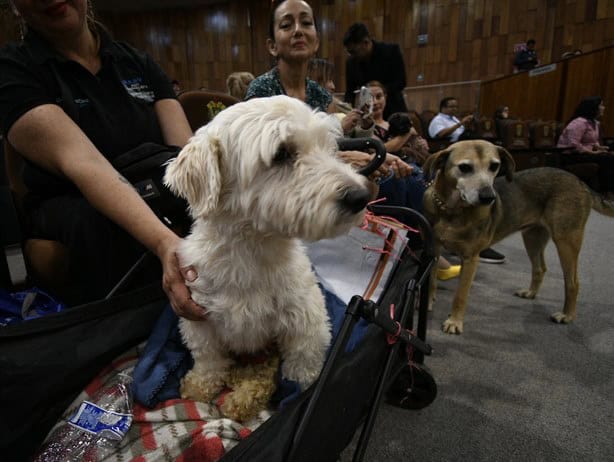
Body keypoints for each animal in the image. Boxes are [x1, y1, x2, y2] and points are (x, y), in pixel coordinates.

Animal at [164, 94, 372, 412]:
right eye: (281, 153)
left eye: (329, 147)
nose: (360, 196)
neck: (249, 253)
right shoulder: (199, 319)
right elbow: (208, 358)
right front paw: (201, 385)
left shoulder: (307, 321)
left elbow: (303, 367)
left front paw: (302, 395)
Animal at [424, 139, 614, 334]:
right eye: (464, 167)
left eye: (494, 166)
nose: (489, 197)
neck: (451, 211)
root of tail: (580, 181)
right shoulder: (434, 250)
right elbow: (431, 281)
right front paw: (427, 304)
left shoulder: (470, 259)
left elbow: (460, 295)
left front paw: (454, 322)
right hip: (533, 238)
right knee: (540, 268)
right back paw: (531, 293)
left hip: (566, 241)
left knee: (573, 282)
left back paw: (567, 315)